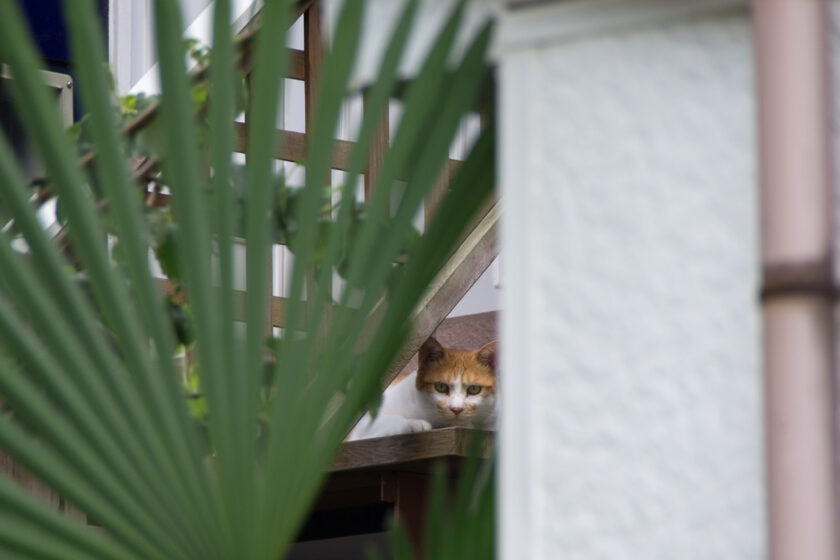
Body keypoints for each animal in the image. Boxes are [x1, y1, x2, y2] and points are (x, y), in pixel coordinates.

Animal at [344, 336, 496, 442]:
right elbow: (389, 420)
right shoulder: (363, 424)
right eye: (441, 387)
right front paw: (414, 424)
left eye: (474, 389)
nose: (456, 409)